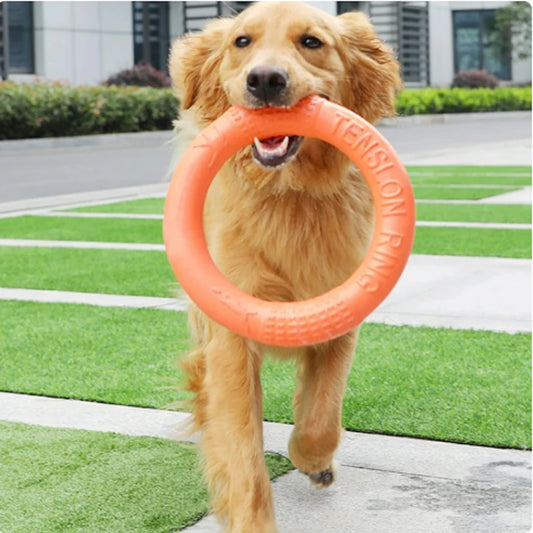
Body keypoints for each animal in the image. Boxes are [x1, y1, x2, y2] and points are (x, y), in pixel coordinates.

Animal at [167, 2, 400, 528]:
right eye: (241, 41)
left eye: (311, 41)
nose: (265, 80)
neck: (289, 192)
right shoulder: (231, 336)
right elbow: (242, 448)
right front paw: (251, 519)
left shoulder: (340, 313)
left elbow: (322, 412)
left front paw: (314, 461)